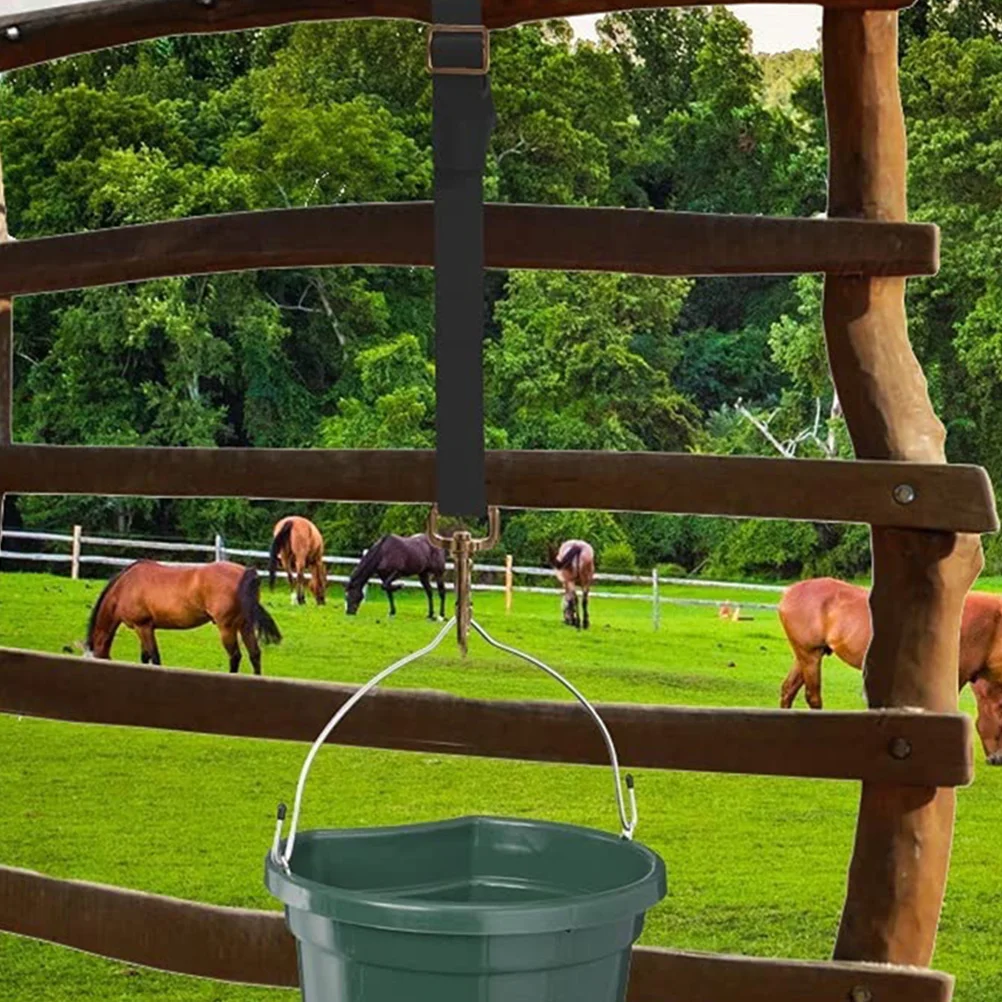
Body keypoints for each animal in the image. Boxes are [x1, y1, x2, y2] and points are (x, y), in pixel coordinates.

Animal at [84, 560, 282, 674]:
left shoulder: (143, 627)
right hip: (244, 625)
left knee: (235, 656)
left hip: (227, 628)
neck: (125, 586)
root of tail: (246, 572)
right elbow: (145, 657)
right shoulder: (144, 628)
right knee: (255, 654)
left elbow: (154, 657)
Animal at [777, 576, 1002, 763]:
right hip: (810, 655)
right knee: (812, 696)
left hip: (805, 656)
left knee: (789, 688)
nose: (997, 759)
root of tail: (789, 592)